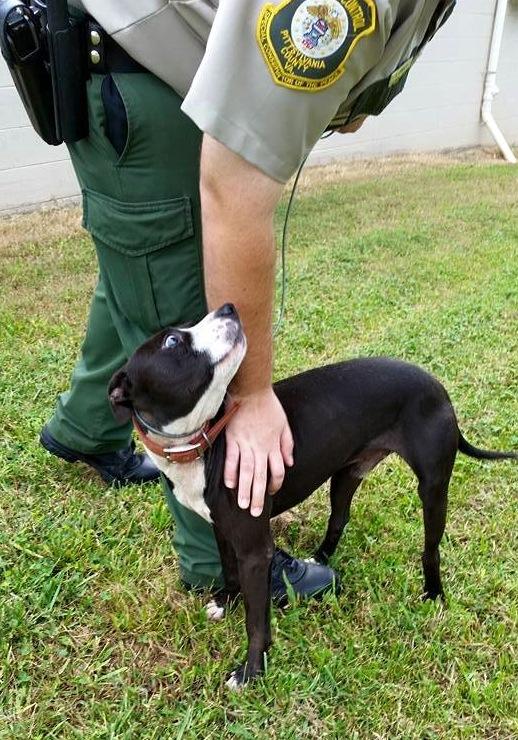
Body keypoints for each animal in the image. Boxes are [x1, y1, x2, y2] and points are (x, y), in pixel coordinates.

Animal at [107, 300, 516, 688]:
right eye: (173, 341)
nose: (227, 307)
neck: (204, 442)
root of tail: (435, 384)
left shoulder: (255, 549)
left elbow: (256, 621)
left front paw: (251, 671)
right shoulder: (222, 530)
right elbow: (228, 571)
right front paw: (226, 603)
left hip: (432, 486)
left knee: (431, 547)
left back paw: (432, 593)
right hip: (346, 473)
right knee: (339, 518)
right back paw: (319, 560)